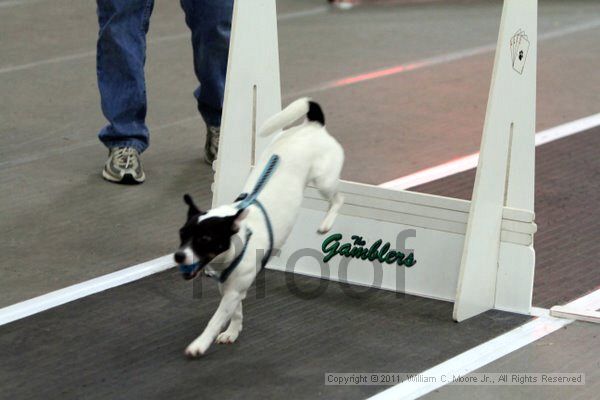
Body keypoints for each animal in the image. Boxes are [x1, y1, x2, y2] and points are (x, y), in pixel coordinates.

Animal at [175, 97, 342, 356]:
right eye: (182, 235)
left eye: (205, 239)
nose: (179, 256)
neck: (241, 237)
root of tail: (313, 125)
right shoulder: (231, 290)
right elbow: (235, 312)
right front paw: (233, 332)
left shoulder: (232, 291)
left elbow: (215, 320)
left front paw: (200, 344)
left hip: (324, 181)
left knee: (338, 198)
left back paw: (326, 223)